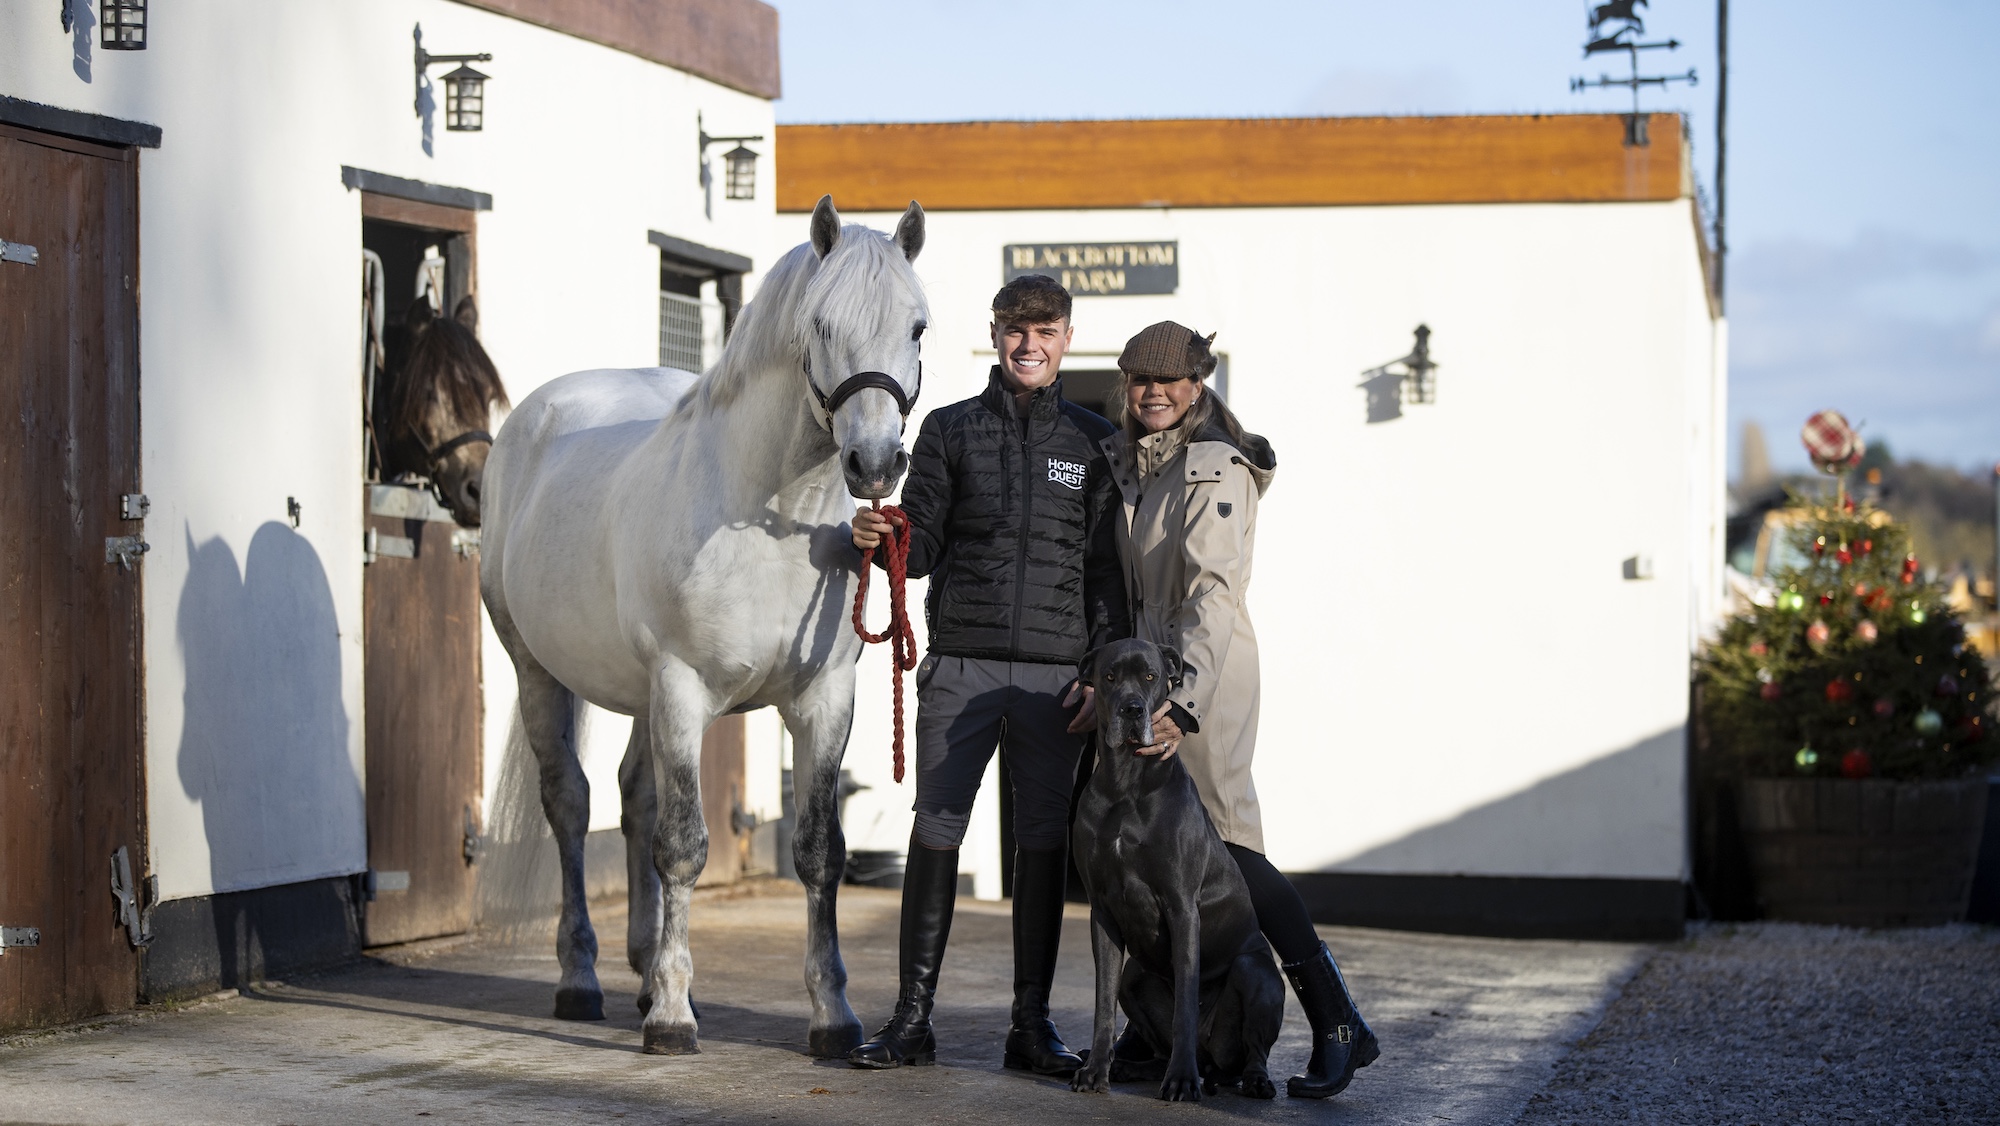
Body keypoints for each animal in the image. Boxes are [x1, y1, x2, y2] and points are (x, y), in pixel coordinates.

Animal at [479, 195, 927, 1056]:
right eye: (821, 323)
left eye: (917, 326)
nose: (875, 463)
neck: (770, 518)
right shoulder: (683, 689)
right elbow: (684, 845)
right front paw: (674, 1020)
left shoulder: (823, 699)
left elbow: (818, 853)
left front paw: (832, 1016)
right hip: (537, 671)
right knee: (572, 805)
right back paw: (583, 979)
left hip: (638, 695)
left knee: (633, 798)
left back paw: (644, 971)